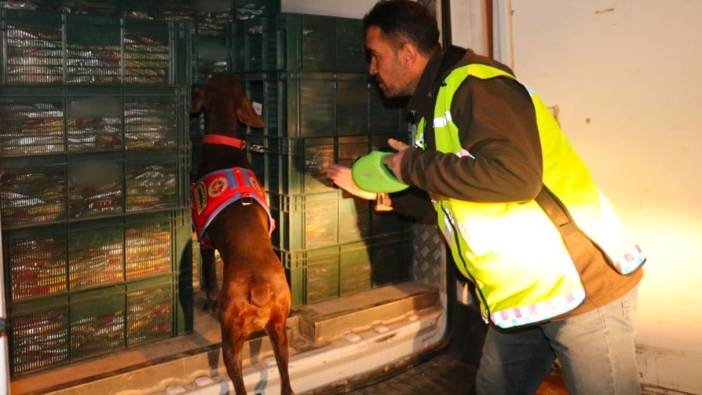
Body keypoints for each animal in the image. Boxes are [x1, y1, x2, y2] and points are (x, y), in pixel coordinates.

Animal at [190, 72, 294, 394]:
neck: (224, 146)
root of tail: (258, 287)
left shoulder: (204, 239)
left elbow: (209, 279)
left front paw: (208, 302)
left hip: (231, 339)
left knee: (239, 383)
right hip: (279, 330)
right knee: (287, 384)